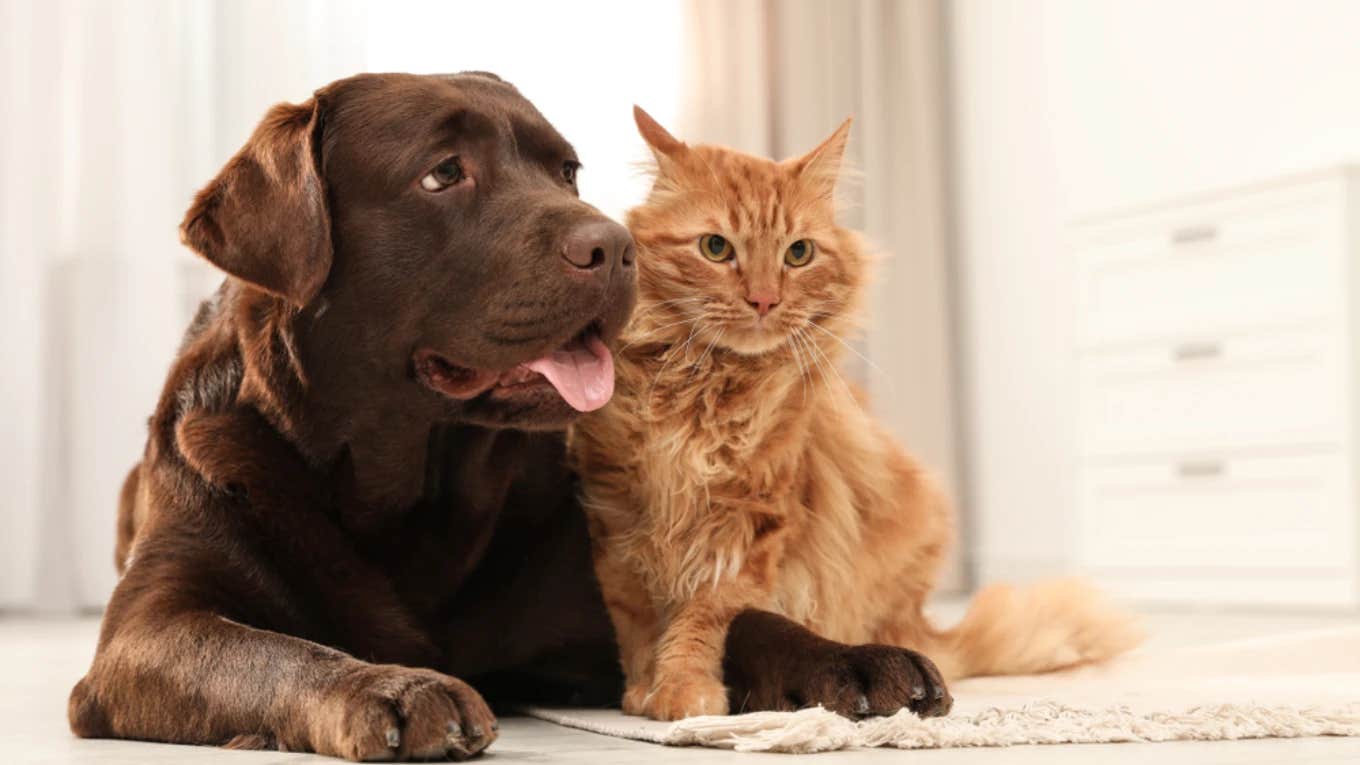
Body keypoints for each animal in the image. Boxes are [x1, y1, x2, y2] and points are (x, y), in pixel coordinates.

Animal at [69, 71, 941, 756]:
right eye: (442, 174)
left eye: (567, 171)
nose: (617, 248)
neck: (407, 485)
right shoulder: (146, 631)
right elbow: (271, 650)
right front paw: (392, 686)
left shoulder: (593, 609)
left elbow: (729, 619)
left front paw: (851, 657)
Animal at [568, 108, 1142, 718]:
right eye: (716, 248)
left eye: (798, 253)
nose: (765, 300)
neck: (707, 389)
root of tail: (918, 623)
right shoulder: (618, 515)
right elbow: (636, 619)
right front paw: (643, 690)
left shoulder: (750, 524)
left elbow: (705, 615)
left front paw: (683, 690)